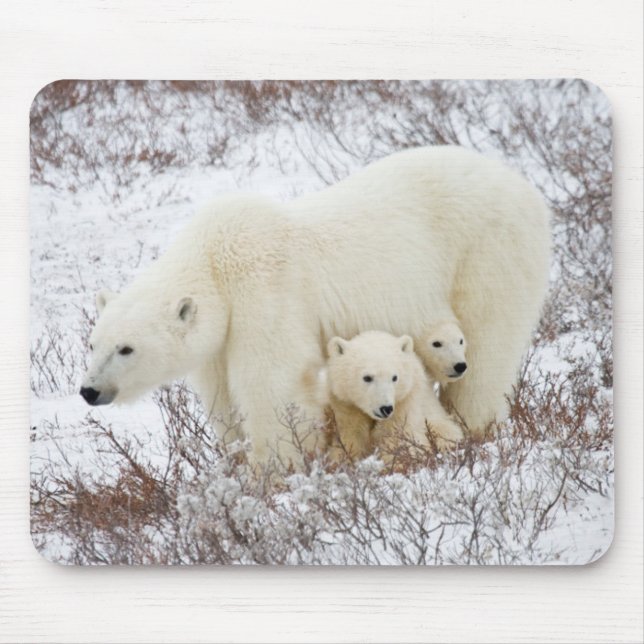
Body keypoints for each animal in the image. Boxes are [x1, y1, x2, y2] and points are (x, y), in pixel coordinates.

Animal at [322, 331, 463, 462]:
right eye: (367, 377)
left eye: (394, 377)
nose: (386, 408)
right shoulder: (346, 405)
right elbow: (350, 437)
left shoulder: (405, 402)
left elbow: (399, 438)